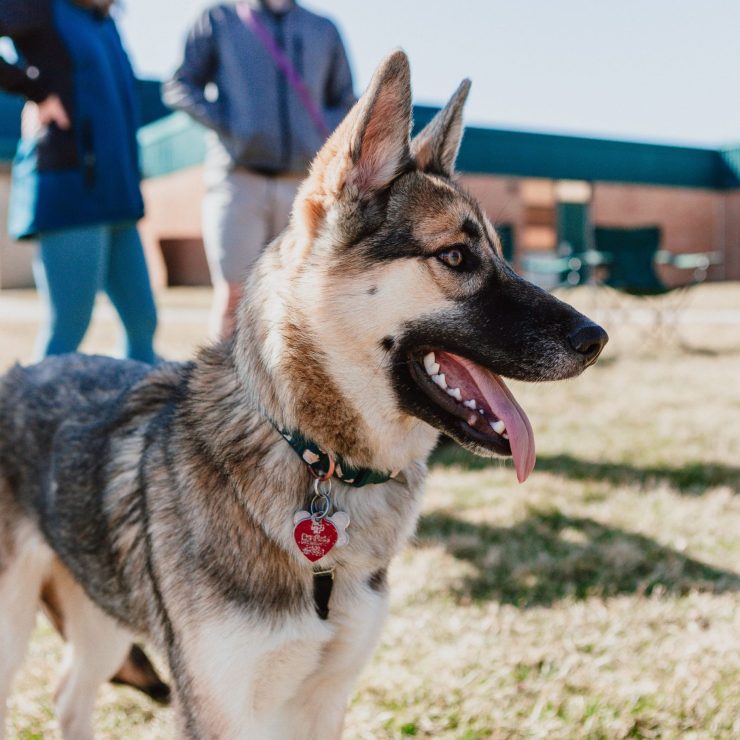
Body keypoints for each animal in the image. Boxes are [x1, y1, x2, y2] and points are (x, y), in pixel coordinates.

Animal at [0, 53, 608, 740]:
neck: (313, 457)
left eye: (502, 256)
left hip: (99, 617)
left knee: (69, 694)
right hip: (15, 630)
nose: (597, 338)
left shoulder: (323, 700)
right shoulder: (217, 708)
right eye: (455, 256)